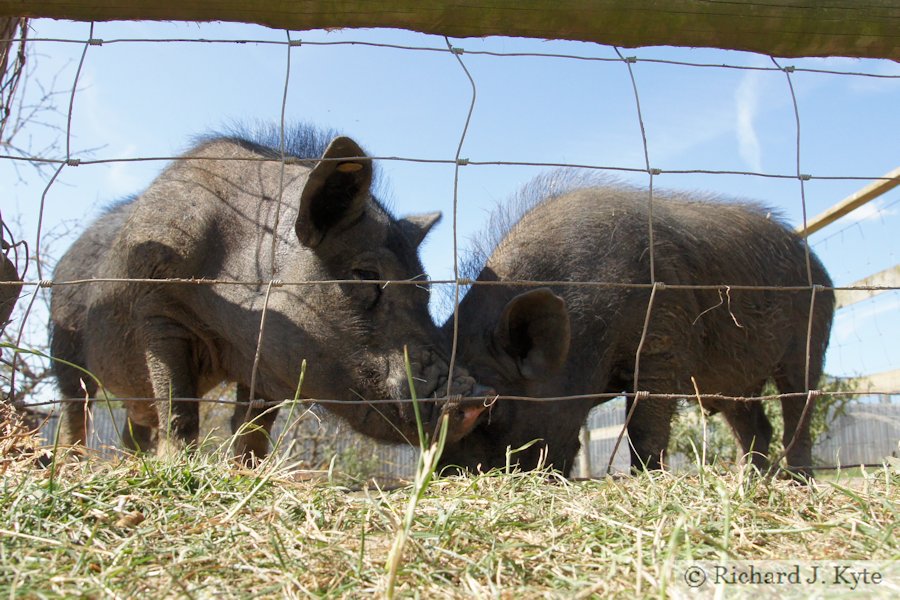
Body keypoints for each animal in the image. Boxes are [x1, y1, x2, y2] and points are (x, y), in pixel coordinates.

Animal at [440, 177, 832, 478]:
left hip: (811, 339)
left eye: (489, 410)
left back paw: (799, 480)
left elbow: (644, 423)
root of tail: (821, 271)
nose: (446, 474)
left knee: (798, 406)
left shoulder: (663, 343)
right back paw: (750, 478)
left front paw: (645, 477)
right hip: (732, 382)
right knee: (755, 425)